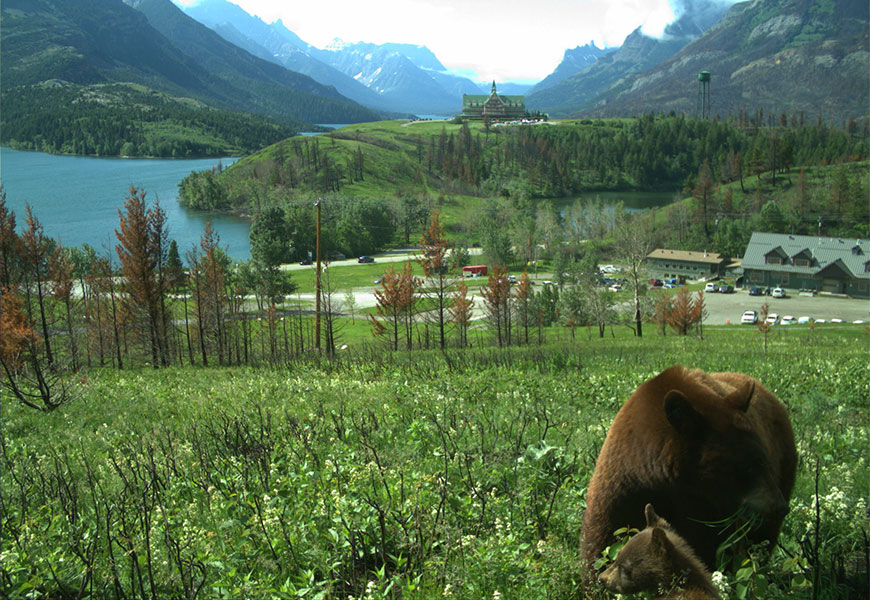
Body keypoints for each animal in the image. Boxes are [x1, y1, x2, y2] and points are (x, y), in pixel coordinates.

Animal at [584, 366, 796, 572]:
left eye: (764, 459)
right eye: (746, 466)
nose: (780, 507)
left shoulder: (710, 513)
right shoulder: (623, 487)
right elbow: (603, 544)